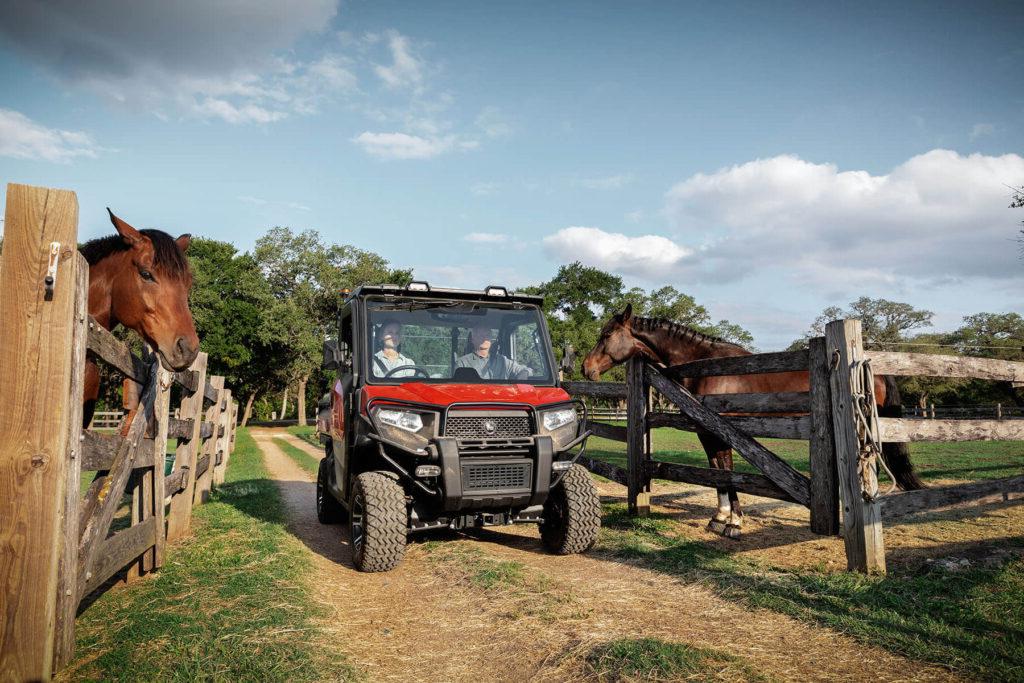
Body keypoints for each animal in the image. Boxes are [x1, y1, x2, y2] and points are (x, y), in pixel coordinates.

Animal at [585, 305, 921, 540]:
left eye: (607, 335)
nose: (586, 368)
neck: (707, 368)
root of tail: (875, 367)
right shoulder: (707, 433)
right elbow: (716, 472)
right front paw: (719, 518)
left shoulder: (723, 433)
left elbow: (728, 472)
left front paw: (733, 523)